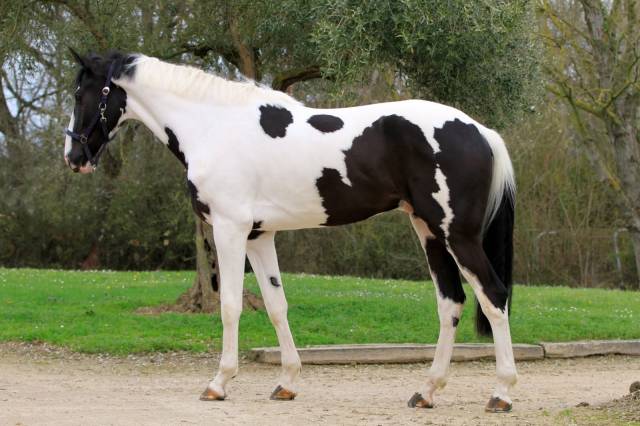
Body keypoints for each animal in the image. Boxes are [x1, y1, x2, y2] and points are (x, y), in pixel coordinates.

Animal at [63, 50, 517, 412]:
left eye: (80, 93)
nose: (73, 157)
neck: (213, 125)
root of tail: (481, 131)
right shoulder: (258, 236)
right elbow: (276, 305)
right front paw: (286, 383)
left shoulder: (229, 229)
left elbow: (230, 305)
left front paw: (218, 383)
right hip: (428, 231)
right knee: (451, 303)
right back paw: (427, 391)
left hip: (457, 235)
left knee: (493, 297)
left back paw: (501, 393)